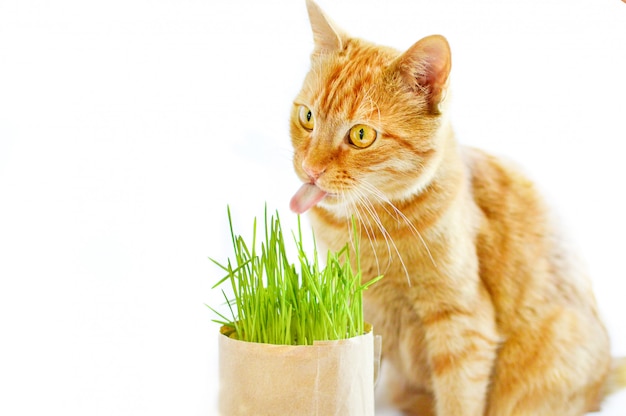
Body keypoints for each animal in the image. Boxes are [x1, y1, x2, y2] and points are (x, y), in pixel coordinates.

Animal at [288, 0, 624, 416]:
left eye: (361, 135)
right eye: (307, 117)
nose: (311, 168)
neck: (368, 230)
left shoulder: (461, 325)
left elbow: (459, 397)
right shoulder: (356, 309)